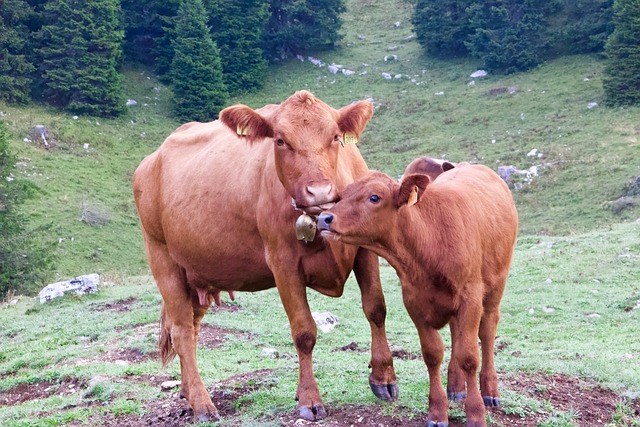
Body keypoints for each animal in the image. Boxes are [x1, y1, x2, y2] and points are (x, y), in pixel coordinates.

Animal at [132, 92, 398, 422]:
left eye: (336, 137)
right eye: (280, 140)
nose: (319, 192)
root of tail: (151, 159)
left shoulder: (365, 250)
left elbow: (376, 309)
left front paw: (384, 378)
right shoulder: (283, 263)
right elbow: (304, 332)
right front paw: (309, 398)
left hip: (196, 274)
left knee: (191, 329)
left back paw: (188, 392)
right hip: (162, 260)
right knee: (181, 332)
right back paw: (203, 404)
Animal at [318, 164, 516, 427]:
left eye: (374, 197)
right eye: (342, 196)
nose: (324, 218)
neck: (430, 241)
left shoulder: (470, 298)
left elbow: (469, 356)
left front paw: (475, 414)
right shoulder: (414, 302)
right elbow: (432, 354)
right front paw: (438, 412)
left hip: (495, 288)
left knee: (487, 331)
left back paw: (490, 391)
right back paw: (455, 387)